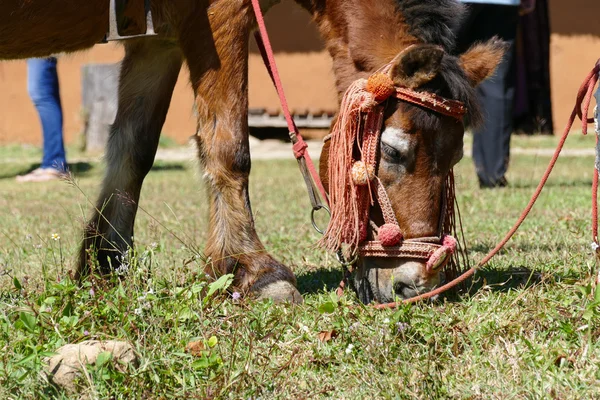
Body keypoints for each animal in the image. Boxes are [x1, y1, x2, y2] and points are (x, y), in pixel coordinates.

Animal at [2, 0, 504, 304]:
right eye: (394, 151)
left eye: (455, 160)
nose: (414, 284)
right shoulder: (217, 15)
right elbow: (229, 147)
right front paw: (255, 269)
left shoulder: (156, 36)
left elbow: (133, 149)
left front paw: (106, 264)